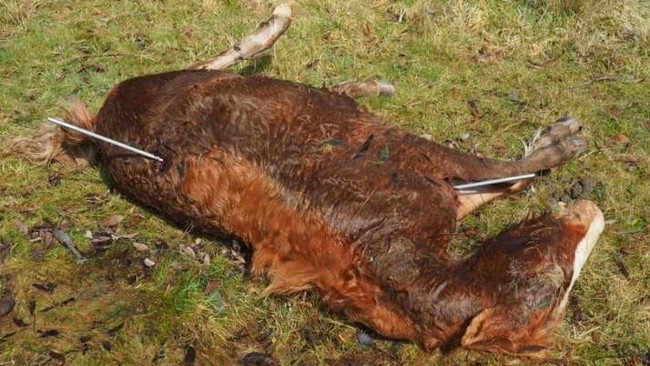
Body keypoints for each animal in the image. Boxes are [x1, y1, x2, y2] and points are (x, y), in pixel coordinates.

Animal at [6, 4, 604, 358]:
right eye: (555, 282)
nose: (590, 215)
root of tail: (106, 125)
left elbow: (505, 184)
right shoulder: (419, 158)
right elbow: (509, 171)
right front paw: (566, 139)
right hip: (191, 84)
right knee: (213, 62)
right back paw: (286, 27)